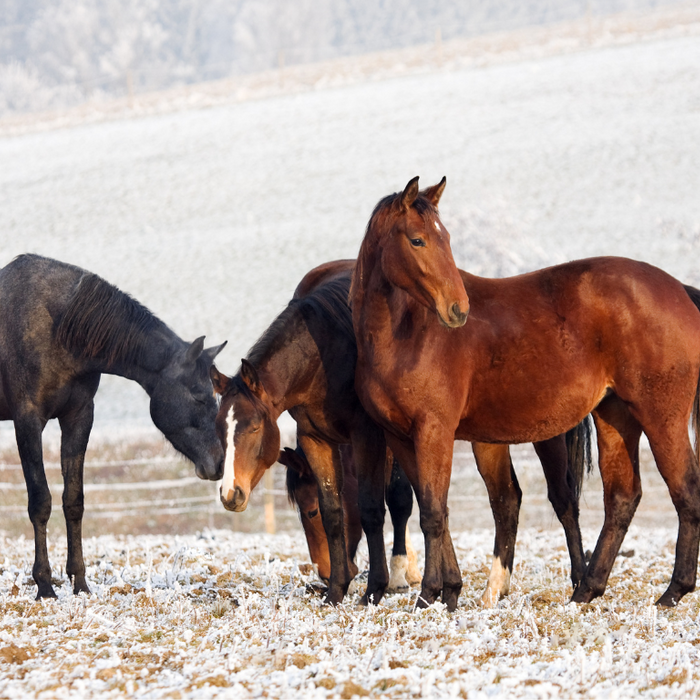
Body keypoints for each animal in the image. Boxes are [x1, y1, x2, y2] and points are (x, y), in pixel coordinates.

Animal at [0, 254, 226, 600]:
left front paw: (79, 582)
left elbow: (74, 500)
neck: (58, 329)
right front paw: (45, 586)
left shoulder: (79, 417)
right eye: (200, 396)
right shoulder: (27, 421)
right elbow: (40, 502)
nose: (219, 462)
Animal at [209, 262, 592, 608]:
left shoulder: (371, 435)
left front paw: (381, 584)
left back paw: (578, 579)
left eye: (253, 427)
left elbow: (380, 505)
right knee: (506, 499)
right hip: (487, 437)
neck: (323, 350)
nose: (230, 493)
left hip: (545, 435)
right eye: (220, 429)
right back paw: (496, 587)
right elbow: (346, 510)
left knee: (561, 499)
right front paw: (338, 590)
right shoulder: (315, 439)